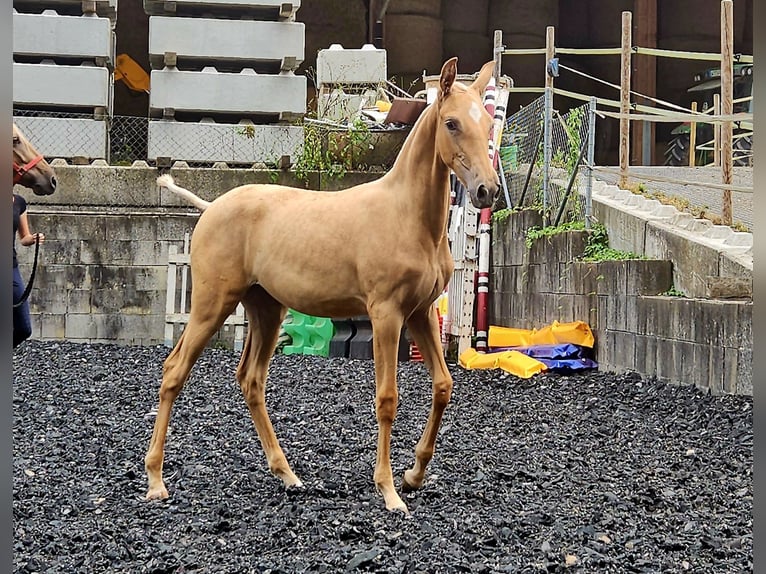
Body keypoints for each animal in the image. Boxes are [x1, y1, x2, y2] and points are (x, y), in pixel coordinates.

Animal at [146, 59, 500, 516]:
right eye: (452, 123)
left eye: (488, 122)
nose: (486, 190)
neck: (407, 215)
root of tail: (210, 207)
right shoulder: (387, 314)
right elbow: (387, 398)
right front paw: (389, 491)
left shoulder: (420, 312)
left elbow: (443, 386)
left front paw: (414, 475)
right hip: (212, 303)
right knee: (174, 371)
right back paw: (156, 481)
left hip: (266, 309)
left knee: (251, 379)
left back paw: (288, 475)